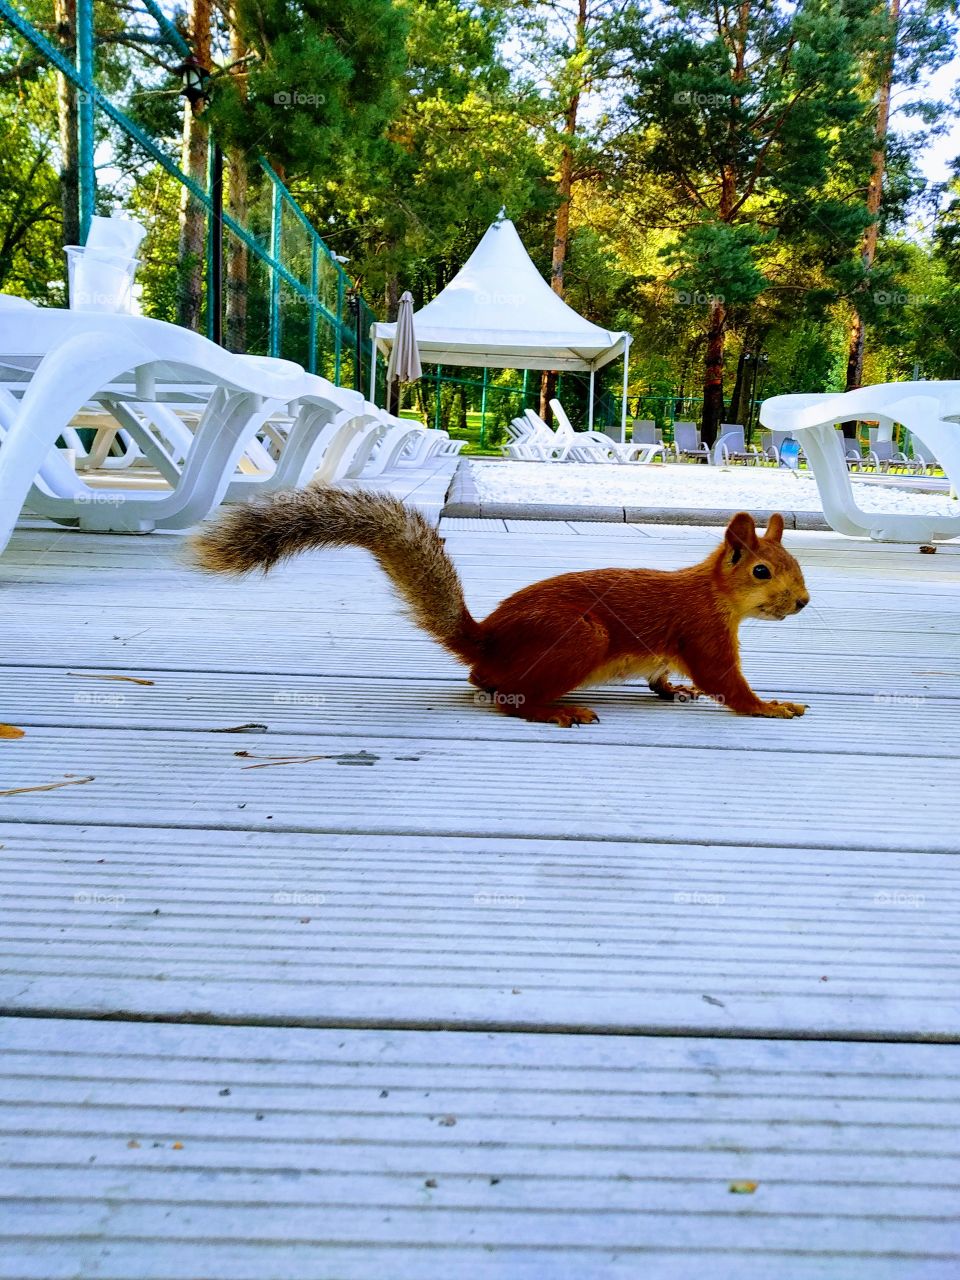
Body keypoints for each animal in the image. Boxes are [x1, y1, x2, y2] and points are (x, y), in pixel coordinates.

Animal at [189, 489, 810, 727]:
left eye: (794, 562)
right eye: (761, 571)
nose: (804, 602)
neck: (714, 591)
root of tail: (485, 638)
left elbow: (665, 675)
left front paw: (672, 690)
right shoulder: (703, 630)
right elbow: (725, 682)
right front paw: (771, 706)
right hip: (580, 639)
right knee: (510, 697)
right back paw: (557, 711)